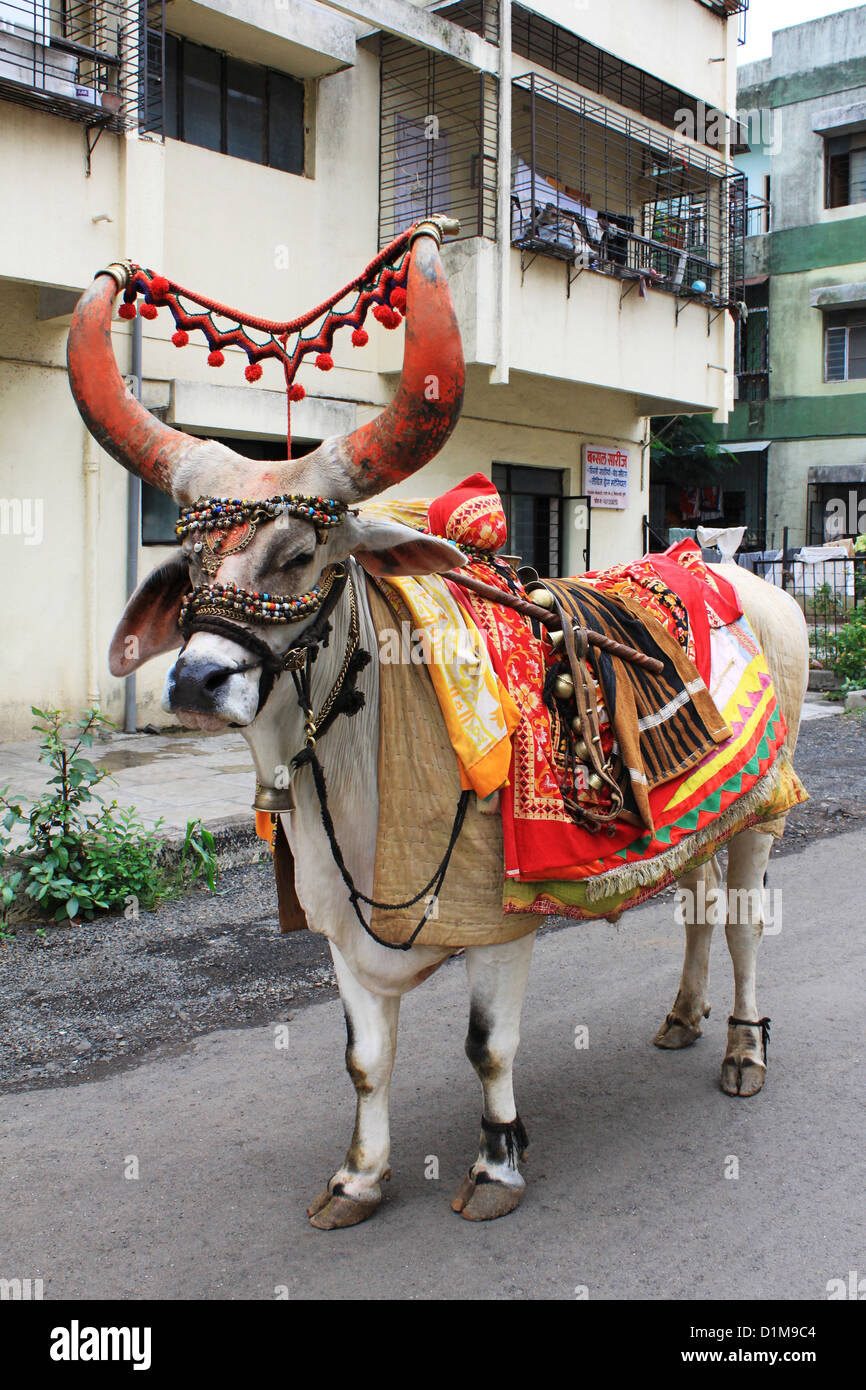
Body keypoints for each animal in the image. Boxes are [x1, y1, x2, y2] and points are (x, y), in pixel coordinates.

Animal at [69, 216, 811, 1228]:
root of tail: (733, 572)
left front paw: (498, 1162)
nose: (195, 680)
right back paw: (682, 1016)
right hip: (706, 828)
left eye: (300, 552)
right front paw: (359, 1177)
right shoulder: (344, 937)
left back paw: (740, 1045)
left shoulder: (498, 927)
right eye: (189, 562)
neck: (354, 780)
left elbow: (486, 1047)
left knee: (739, 929)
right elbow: (364, 1060)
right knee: (696, 910)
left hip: (763, 817)